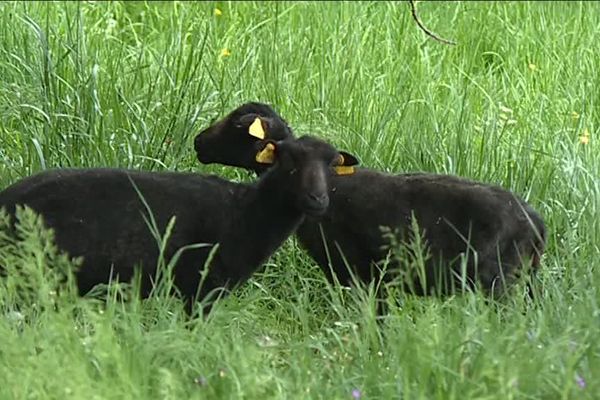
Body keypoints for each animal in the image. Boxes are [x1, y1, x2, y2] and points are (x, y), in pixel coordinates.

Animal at [0, 135, 356, 312]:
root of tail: (6, 196)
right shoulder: (200, 288)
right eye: (289, 161)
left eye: (332, 164)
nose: (317, 200)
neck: (245, 212)